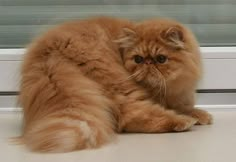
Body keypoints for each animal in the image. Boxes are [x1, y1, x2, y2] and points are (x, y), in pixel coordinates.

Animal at [18, 16, 212, 153]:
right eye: (138, 59)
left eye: (161, 59)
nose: (148, 64)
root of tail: (50, 51)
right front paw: (194, 116)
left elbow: (184, 106)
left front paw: (200, 114)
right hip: (119, 82)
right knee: (132, 116)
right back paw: (184, 122)